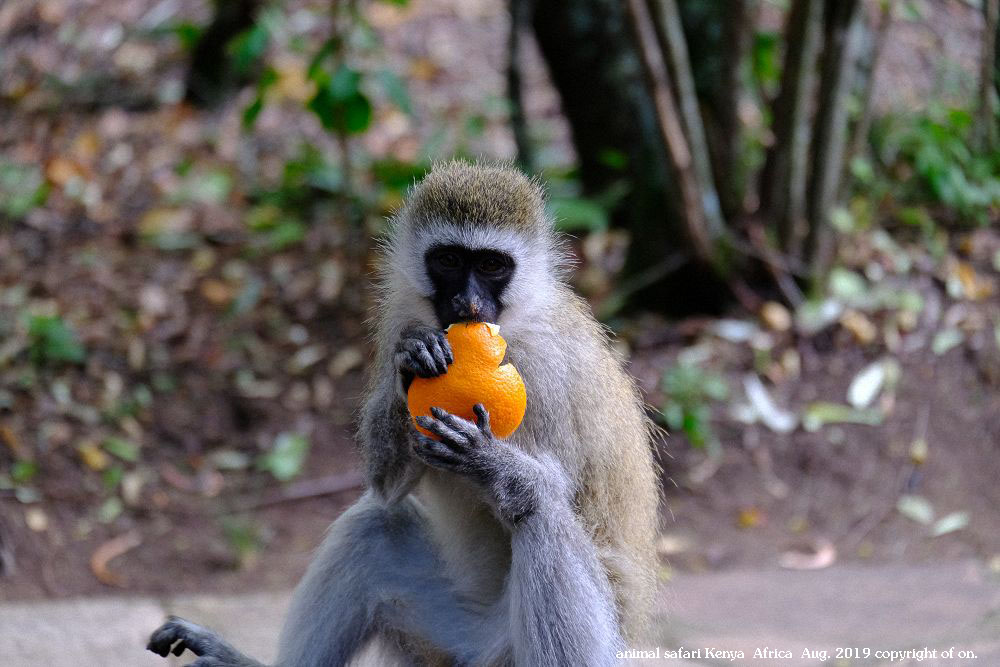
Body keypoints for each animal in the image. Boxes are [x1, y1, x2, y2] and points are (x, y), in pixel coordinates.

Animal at [148, 162, 660, 667]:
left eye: (492, 265)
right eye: (449, 261)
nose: (468, 304)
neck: (512, 327)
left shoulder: (549, 366)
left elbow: (556, 484)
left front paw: (492, 463)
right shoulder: (399, 316)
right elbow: (386, 485)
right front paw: (412, 361)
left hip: (538, 649)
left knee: (540, 512)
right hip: (448, 643)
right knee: (374, 525)